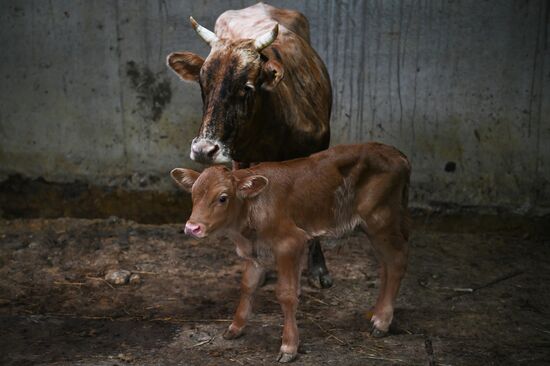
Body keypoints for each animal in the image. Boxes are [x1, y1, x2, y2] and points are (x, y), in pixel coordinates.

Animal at [170, 143, 412, 364]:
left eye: (222, 197)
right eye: (193, 195)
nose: (192, 228)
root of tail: (396, 153)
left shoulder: (291, 243)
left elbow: (286, 294)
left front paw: (289, 346)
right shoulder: (255, 252)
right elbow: (248, 286)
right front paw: (235, 327)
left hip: (381, 219)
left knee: (397, 261)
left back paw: (382, 322)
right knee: (385, 265)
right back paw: (376, 314)